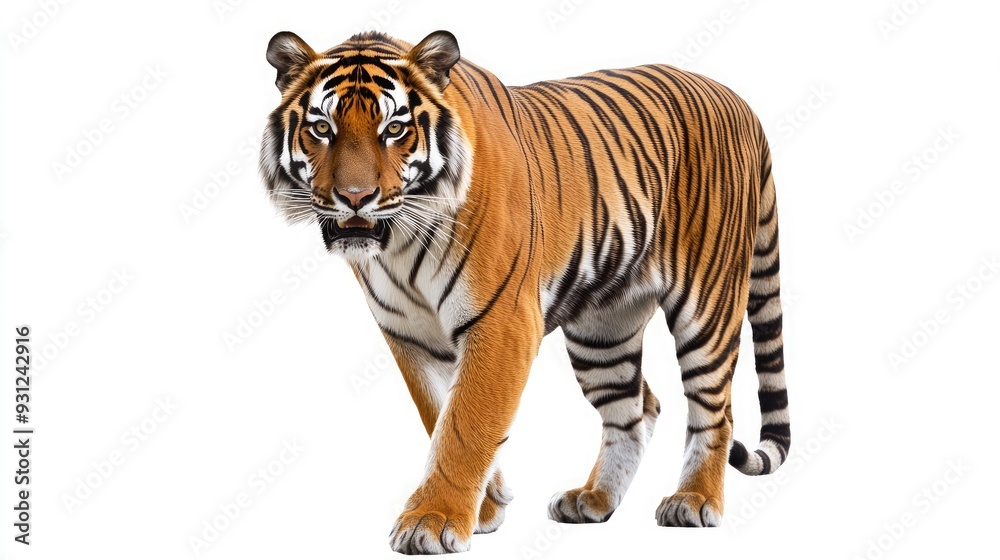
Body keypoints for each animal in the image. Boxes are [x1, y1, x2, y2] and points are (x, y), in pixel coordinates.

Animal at [260, 29, 790, 554]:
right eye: (322, 128)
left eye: (393, 129)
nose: (354, 198)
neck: (400, 244)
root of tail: (739, 101)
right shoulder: (409, 337)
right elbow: (439, 414)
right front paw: (485, 506)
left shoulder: (502, 322)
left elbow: (466, 422)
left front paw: (434, 519)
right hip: (603, 331)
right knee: (636, 408)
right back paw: (593, 500)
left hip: (707, 306)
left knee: (715, 412)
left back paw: (693, 501)